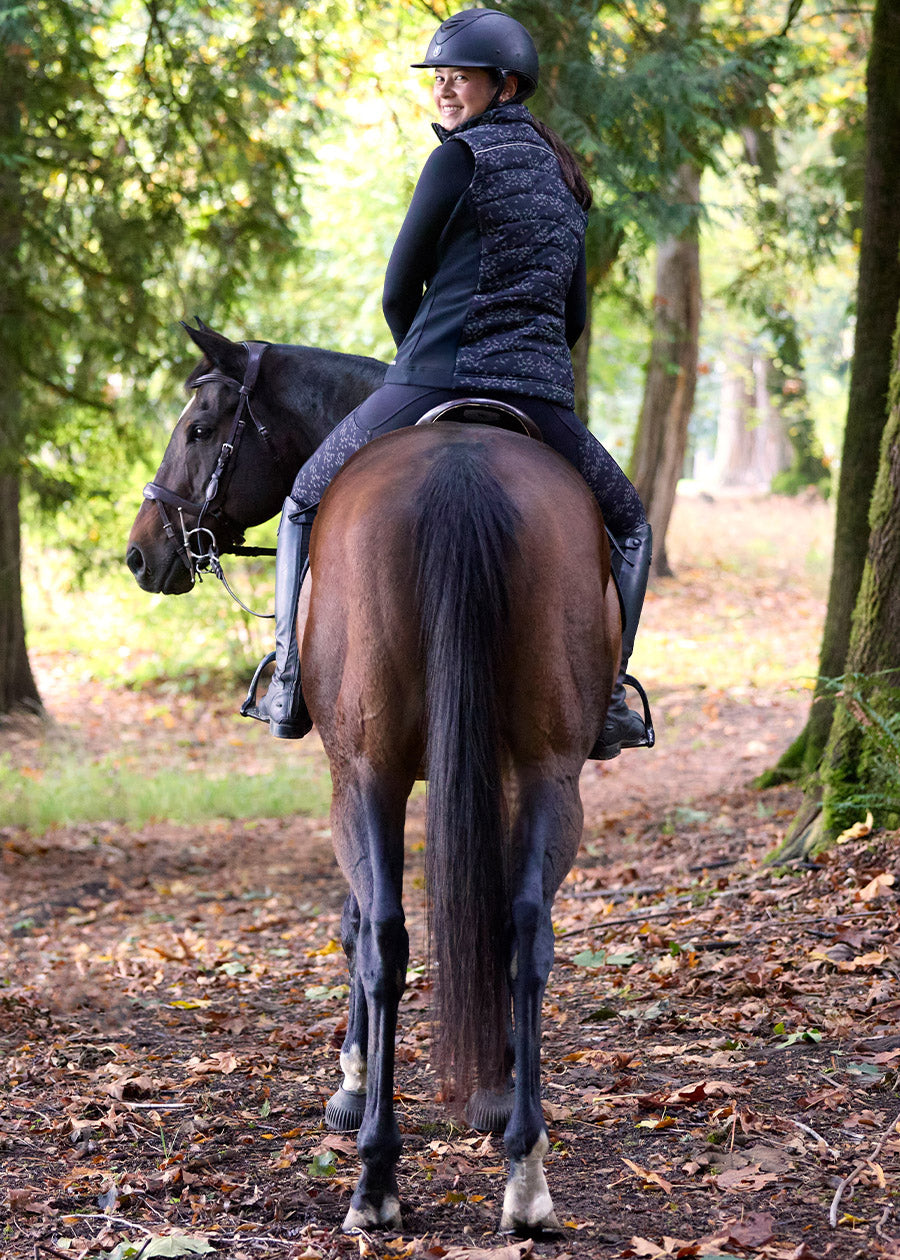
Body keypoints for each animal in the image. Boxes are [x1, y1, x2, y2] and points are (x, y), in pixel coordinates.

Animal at [127, 324, 621, 1234]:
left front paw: (353, 1083)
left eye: (201, 428)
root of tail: (462, 467)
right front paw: (493, 1086)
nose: (141, 553)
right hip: (548, 772)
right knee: (526, 932)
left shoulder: (351, 774)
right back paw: (525, 1172)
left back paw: (375, 1176)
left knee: (385, 936)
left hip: (366, 775)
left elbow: (356, 923)